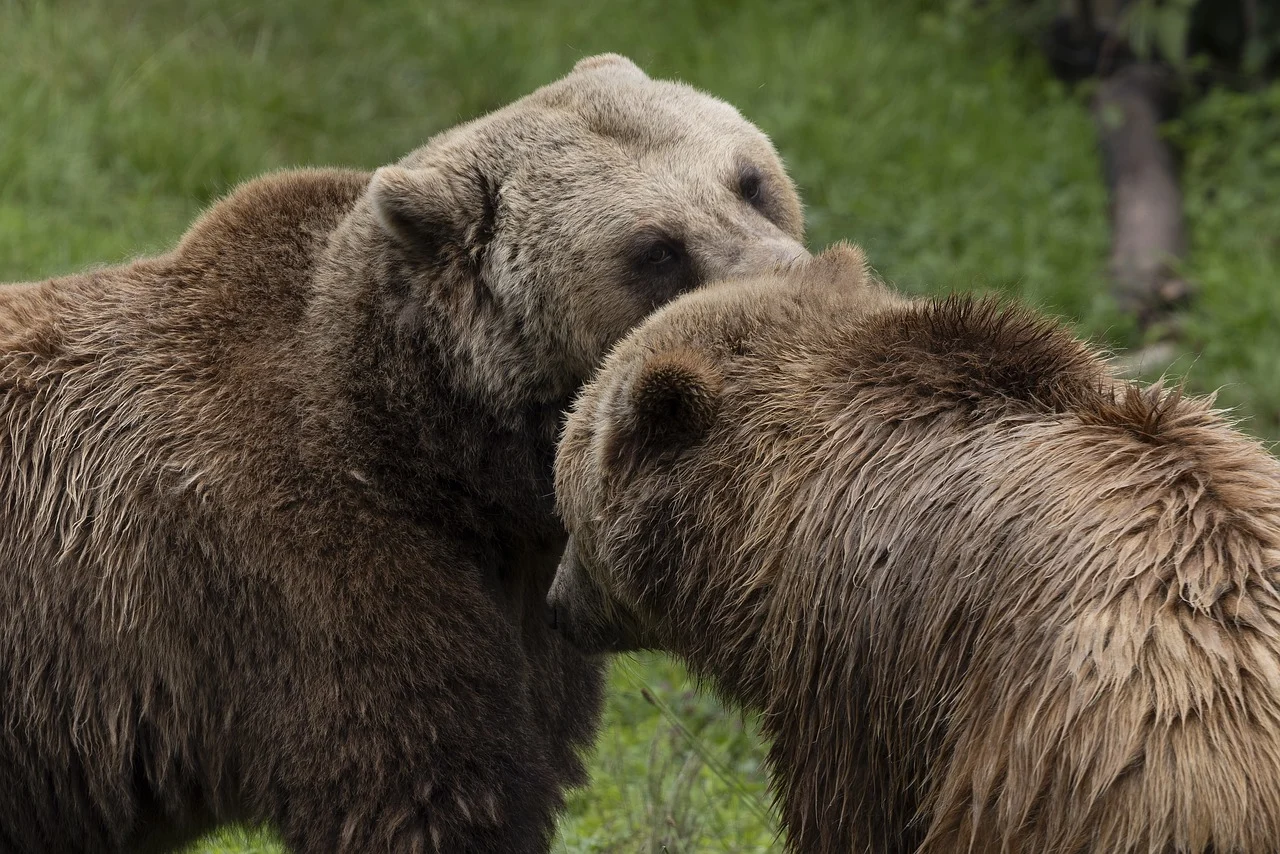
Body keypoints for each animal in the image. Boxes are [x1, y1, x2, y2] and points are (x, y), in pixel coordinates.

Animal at [0, 55, 803, 854]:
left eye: (749, 180)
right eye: (656, 248)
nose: (789, 276)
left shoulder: (524, 612)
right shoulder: (316, 579)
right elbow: (427, 788)